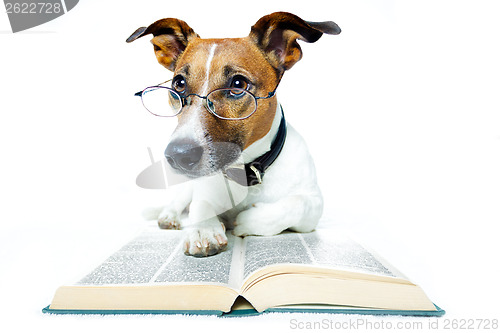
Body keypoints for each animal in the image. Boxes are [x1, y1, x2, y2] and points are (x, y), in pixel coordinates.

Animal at [127, 11, 342, 255]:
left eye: (238, 83)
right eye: (178, 84)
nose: (178, 155)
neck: (244, 171)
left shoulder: (314, 205)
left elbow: (296, 203)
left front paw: (248, 220)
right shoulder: (203, 189)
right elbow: (200, 206)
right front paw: (203, 230)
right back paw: (169, 217)